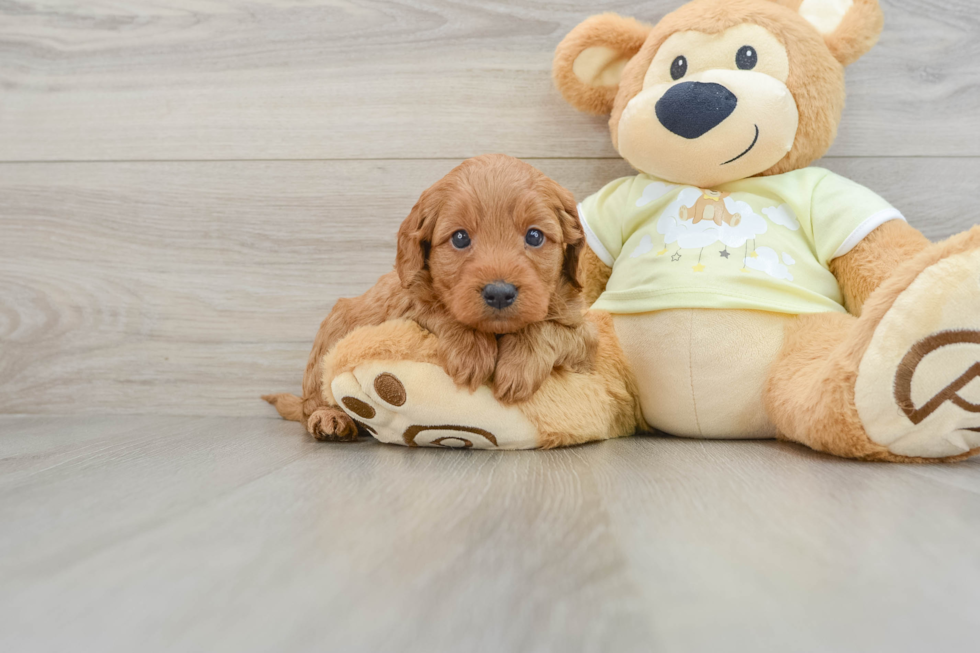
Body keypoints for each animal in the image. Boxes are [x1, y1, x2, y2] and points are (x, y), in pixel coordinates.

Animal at [262, 153, 596, 438]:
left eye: (535, 236)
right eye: (460, 238)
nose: (499, 293)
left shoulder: (586, 341)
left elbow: (548, 327)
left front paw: (519, 366)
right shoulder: (406, 302)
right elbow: (437, 309)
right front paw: (471, 350)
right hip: (331, 333)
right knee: (312, 401)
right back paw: (330, 417)